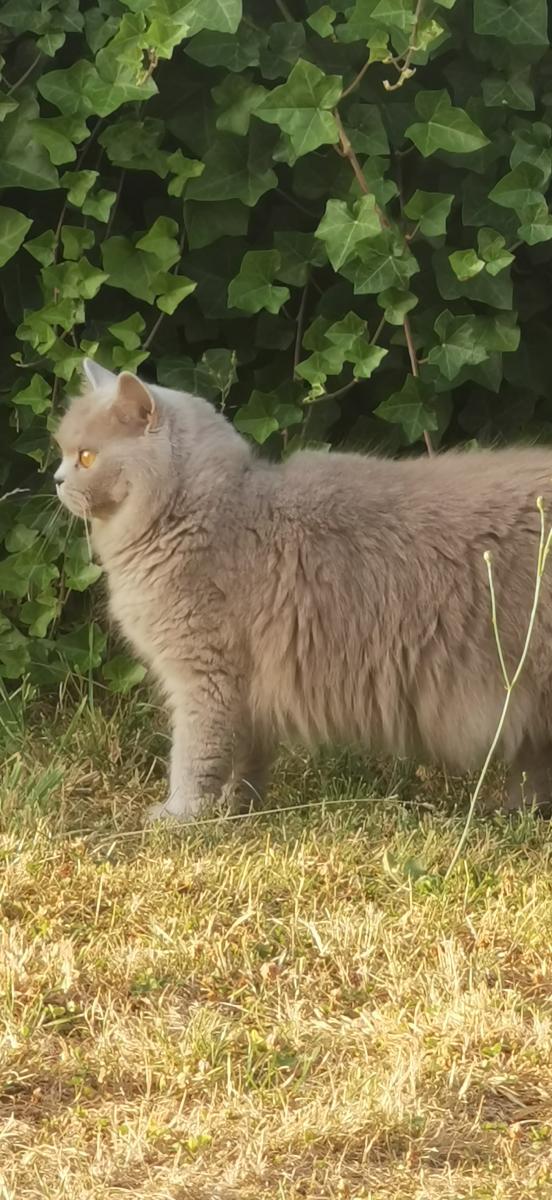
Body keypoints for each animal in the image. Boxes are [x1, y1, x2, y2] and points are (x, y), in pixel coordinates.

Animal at [54, 360, 552, 820]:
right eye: (62, 452)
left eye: (86, 458)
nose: (56, 479)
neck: (202, 513)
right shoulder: (247, 696)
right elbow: (245, 762)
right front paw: (238, 809)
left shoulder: (206, 678)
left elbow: (192, 759)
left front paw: (179, 815)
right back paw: (518, 812)